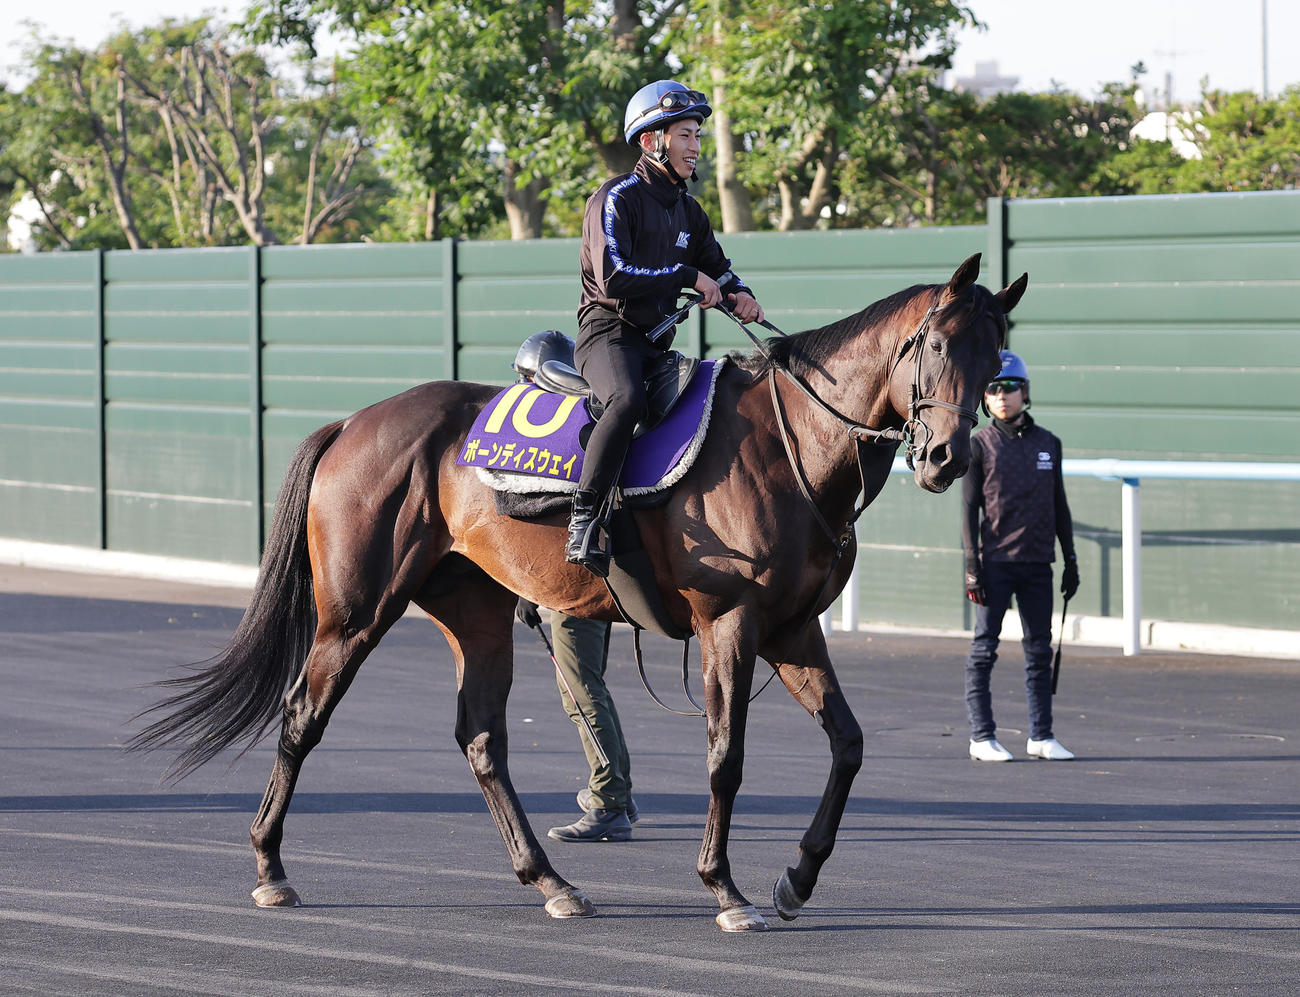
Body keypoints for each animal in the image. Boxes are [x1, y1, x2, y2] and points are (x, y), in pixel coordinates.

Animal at [131, 252, 1026, 932]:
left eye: (994, 356)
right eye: (936, 344)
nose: (946, 456)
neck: (789, 443)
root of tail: (353, 423)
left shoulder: (793, 629)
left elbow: (849, 744)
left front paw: (796, 877)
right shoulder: (731, 624)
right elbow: (726, 756)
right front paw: (725, 887)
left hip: (478, 614)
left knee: (482, 740)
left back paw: (550, 880)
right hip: (354, 614)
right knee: (302, 717)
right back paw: (270, 864)